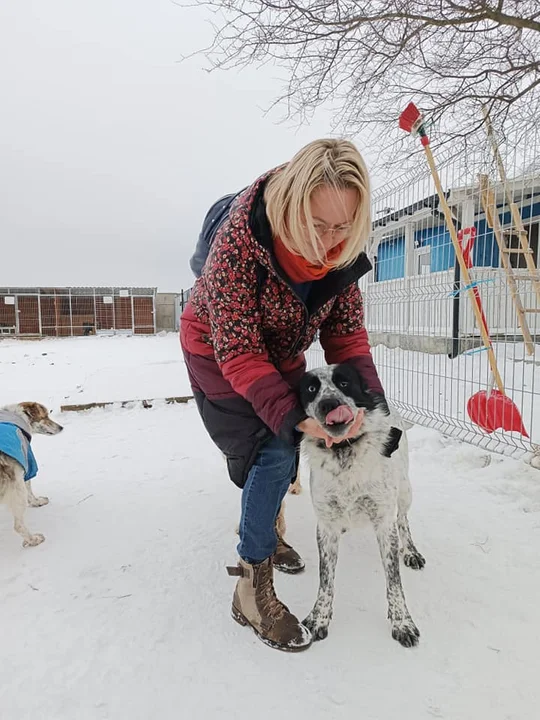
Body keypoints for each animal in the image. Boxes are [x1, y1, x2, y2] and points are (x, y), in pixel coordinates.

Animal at [298, 362, 424, 648]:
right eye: (311, 389)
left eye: (344, 383)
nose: (329, 403)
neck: (344, 453)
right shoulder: (326, 526)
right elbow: (325, 580)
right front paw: (319, 618)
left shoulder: (384, 525)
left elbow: (394, 581)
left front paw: (402, 622)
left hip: (405, 491)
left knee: (403, 521)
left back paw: (410, 551)